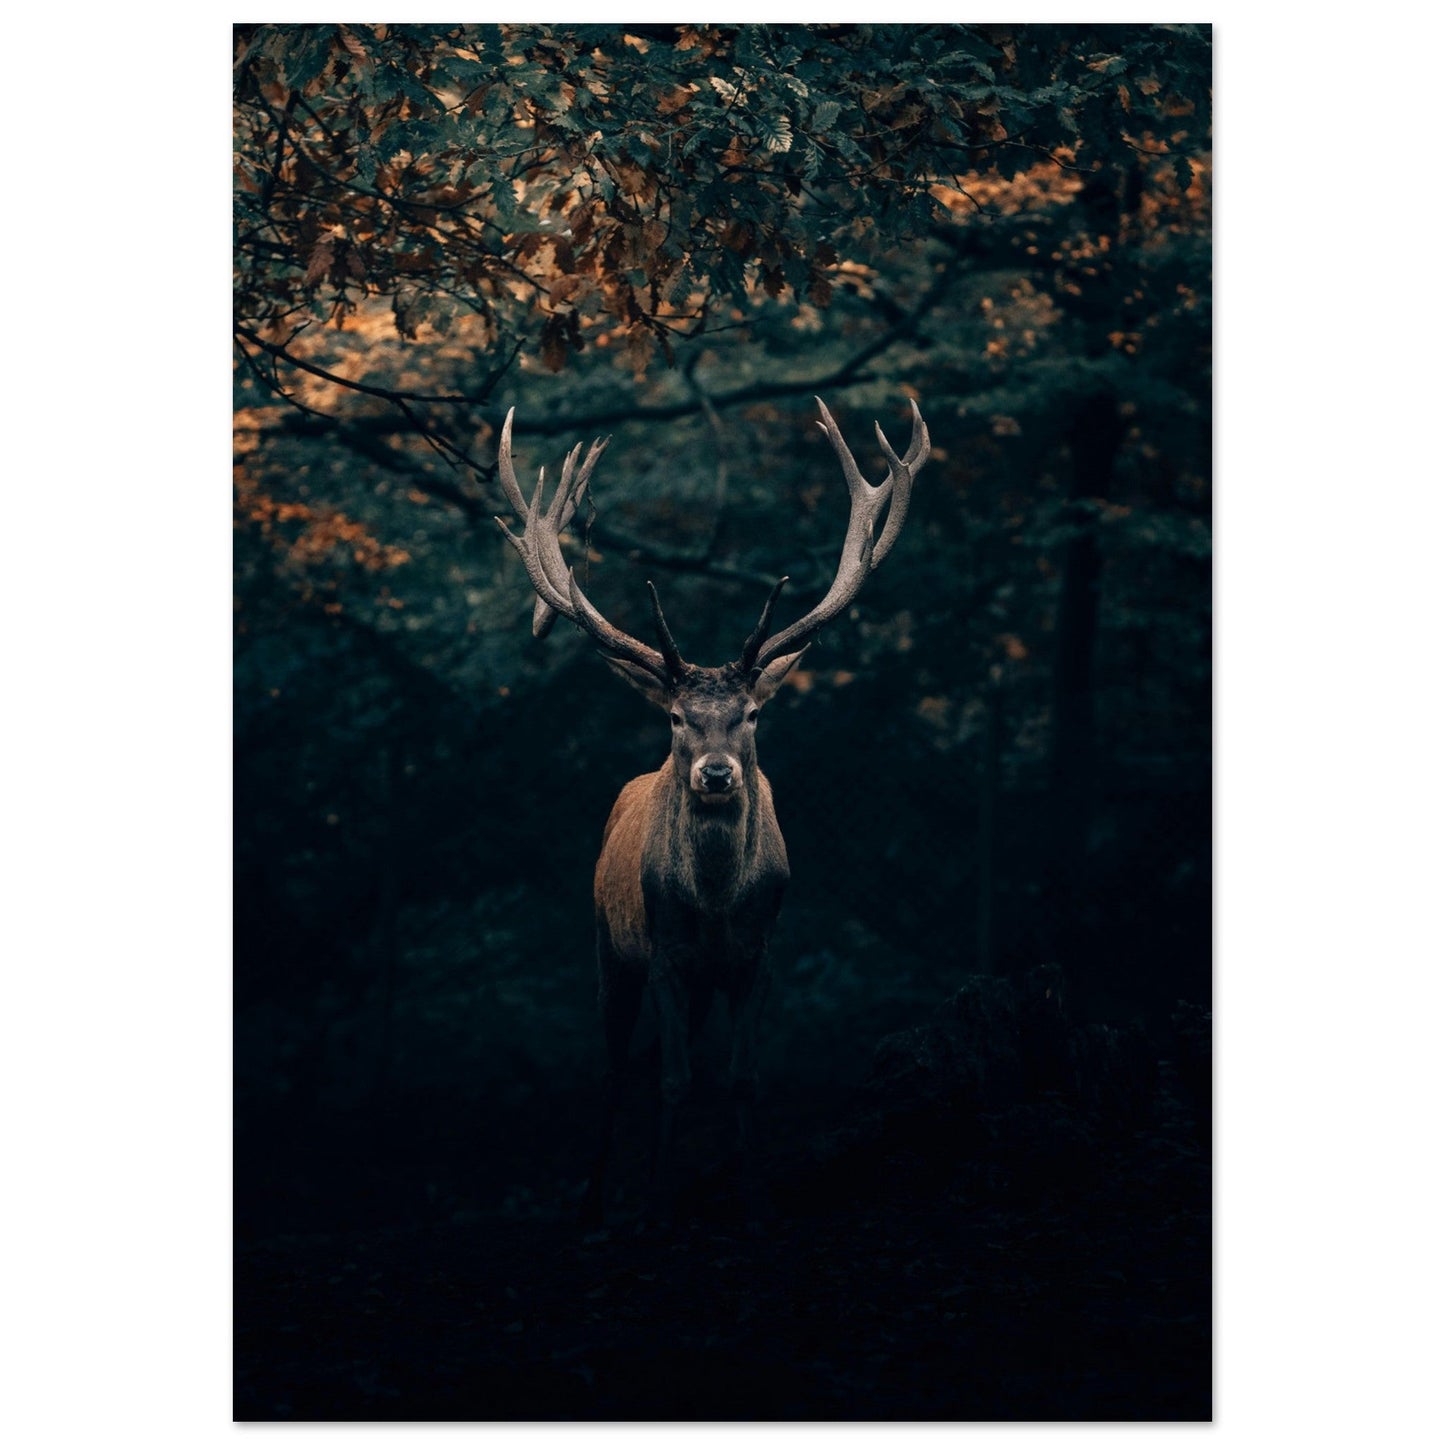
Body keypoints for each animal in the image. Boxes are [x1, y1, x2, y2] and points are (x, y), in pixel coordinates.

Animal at [493, 396, 929, 1227]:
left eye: (751, 713)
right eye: (675, 717)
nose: (716, 773)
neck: (719, 903)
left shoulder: (758, 957)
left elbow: (738, 1077)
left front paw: (751, 1195)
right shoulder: (665, 954)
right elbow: (670, 1079)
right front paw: (656, 1202)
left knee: (657, 1060)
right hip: (608, 947)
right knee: (617, 1066)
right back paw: (595, 1202)